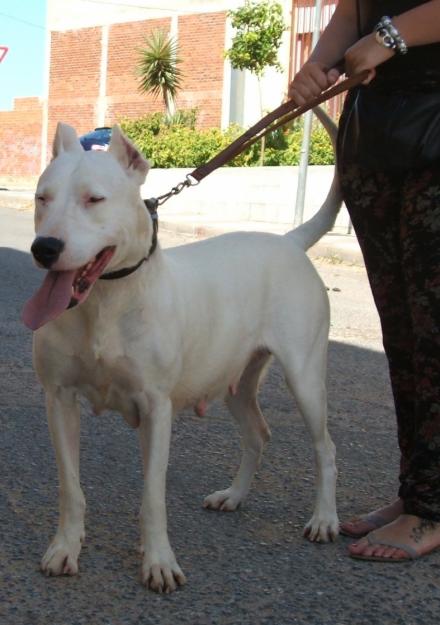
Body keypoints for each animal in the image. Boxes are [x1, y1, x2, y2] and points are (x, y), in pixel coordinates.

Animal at [22, 111, 342, 588]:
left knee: (325, 448)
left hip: (305, 377)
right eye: (42, 198)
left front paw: (158, 560)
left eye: (94, 199)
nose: (44, 248)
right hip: (236, 378)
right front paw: (65, 548)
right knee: (257, 433)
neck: (106, 301)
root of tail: (288, 240)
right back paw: (233, 495)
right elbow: (70, 486)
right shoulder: (58, 399)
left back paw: (324, 518)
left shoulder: (156, 407)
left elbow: (153, 494)